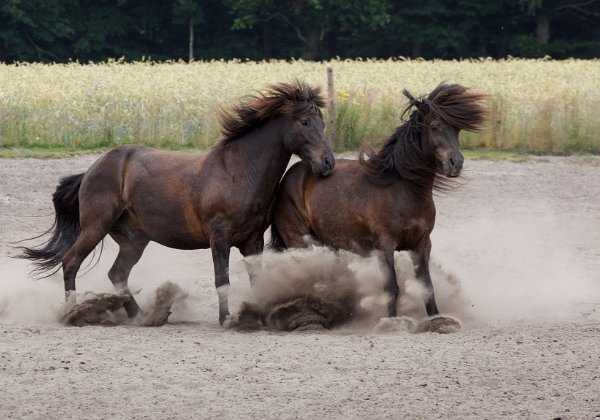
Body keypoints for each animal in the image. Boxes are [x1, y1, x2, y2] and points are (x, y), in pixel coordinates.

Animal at [18, 81, 336, 324]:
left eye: (322, 122)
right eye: (305, 122)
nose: (328, 162)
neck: (238, 172)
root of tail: (92, 169)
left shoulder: (252, 241)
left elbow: (257, 280)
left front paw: (256, 314)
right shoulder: (219, 238)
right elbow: (222, 281)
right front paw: (226, 319)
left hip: (133, 239)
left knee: (117, 273)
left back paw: (143, 316)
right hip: (95, 227)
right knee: (71, 262)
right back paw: (72, 313)